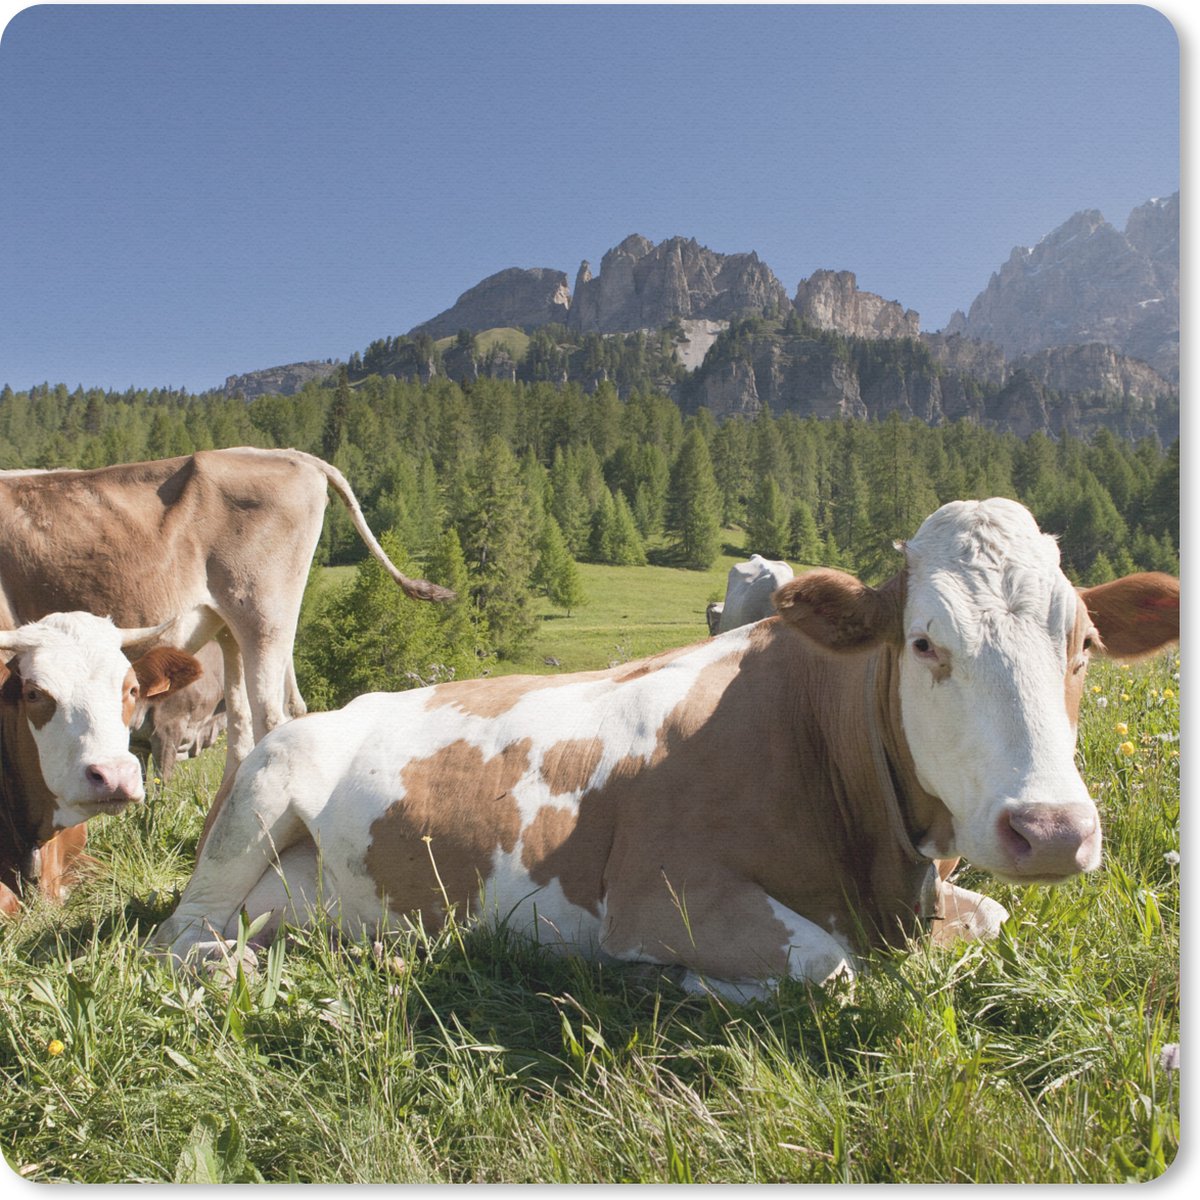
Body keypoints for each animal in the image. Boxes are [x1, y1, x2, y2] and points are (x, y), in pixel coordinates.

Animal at [152, 500, 1179, 999]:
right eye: (926, 643)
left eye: (1085, 644)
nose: (1051, 830)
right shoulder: (659, 892)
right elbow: (828, 967)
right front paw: (681, 979)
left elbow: (991, 919)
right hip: (259, 791)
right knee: (177, 936)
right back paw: (229, 968)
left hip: (312, 897)